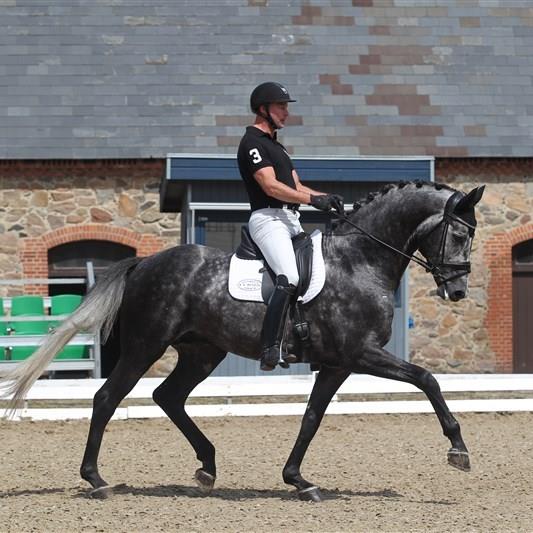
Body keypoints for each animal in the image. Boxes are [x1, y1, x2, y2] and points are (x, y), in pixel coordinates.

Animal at [0, 181, 482, 500]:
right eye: (460, 234)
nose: (457, 291)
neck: (359, 261)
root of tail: (144, 263)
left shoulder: (336, 364)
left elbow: (311, 418)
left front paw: (298, 480)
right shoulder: (359, 354)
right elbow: (427, 379)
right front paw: (458, 449)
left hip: (202, 351)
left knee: (168, 396)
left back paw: (207, 467)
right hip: (145, 346)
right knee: (106, 398)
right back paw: (97, 480)